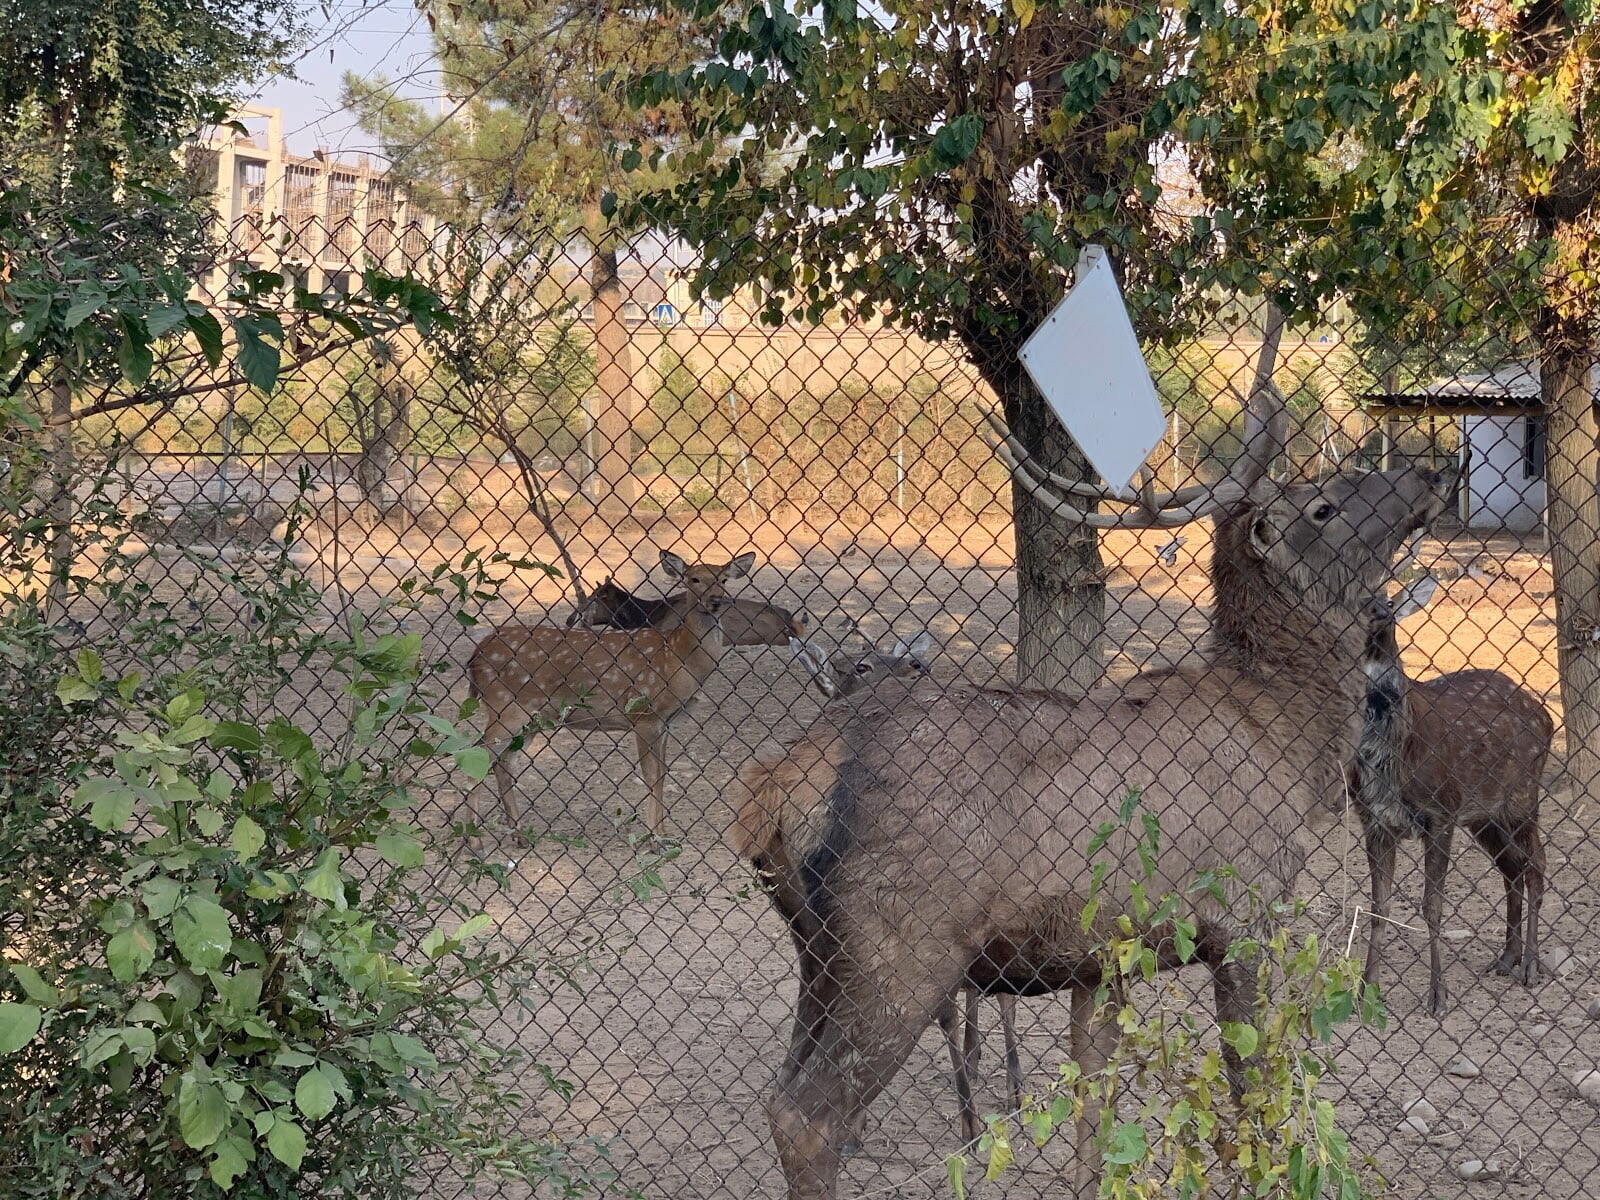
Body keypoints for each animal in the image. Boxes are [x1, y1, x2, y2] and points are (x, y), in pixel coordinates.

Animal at [1350, 563, 1548, 1017]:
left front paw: (1438, 998)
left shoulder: (1440, 812)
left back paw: (1530, 966)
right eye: (1356, 600)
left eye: (1388, 604)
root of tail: (1545, 715)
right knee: (1511, 867)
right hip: (1484, 815)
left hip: (1523, 797)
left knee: (1536, 865)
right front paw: (1366, 991)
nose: (1374, 614)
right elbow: (1378, 906)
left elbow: (1432, 907)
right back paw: (1506, 958)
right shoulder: (1373, 819)